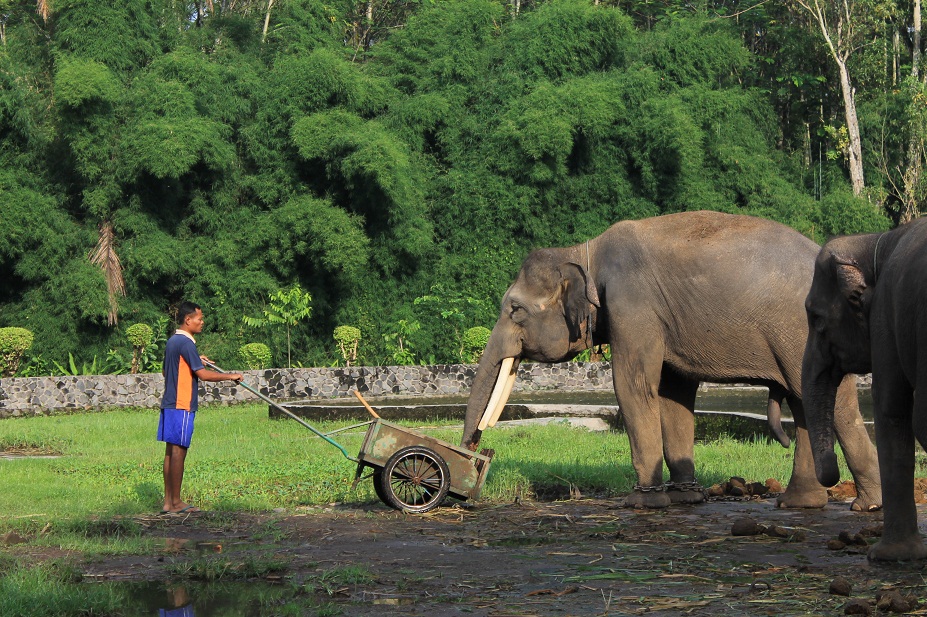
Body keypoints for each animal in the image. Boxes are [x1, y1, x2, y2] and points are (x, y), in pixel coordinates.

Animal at [462, 210, 881, 510]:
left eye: (515, 309)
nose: (473, 455)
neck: (584, 251)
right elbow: (673, 394)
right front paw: (686, 497)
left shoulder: (632, 305)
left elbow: (634, 386)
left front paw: (643, 502)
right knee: (805, 401)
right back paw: (800, 504)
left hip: (809, 331)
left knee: (837, 406)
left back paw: (866, 506)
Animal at [803, 217, 927, 561]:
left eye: (815, 317)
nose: (831, 475)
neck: (878, 240)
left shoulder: (885, 314)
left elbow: (891, 407)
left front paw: (887, 556)